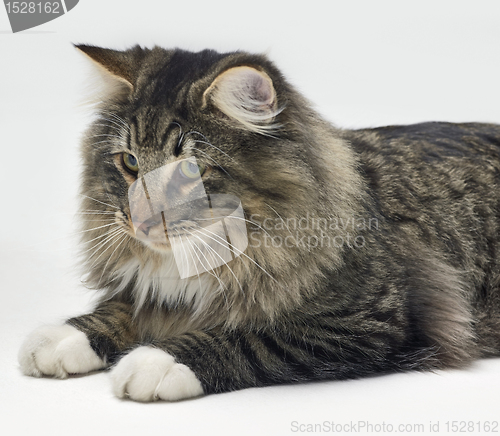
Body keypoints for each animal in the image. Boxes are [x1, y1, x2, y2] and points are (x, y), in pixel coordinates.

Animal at [17, 45, 500, 402]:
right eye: (130, 163)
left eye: (190, 169)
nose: (142, 222)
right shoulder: (150, 290)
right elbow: (118, 308)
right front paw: (63, 337)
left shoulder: (374, 320)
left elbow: (250, 335)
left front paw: (154, 361)